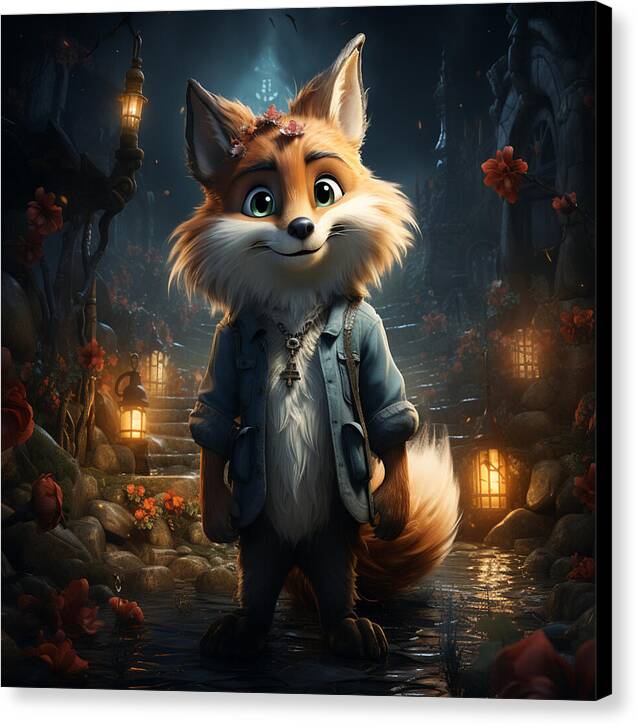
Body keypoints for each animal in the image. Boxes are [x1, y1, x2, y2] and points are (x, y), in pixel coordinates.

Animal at [169, 34, 459, 660]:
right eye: (260, 202)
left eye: (325, 192)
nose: (302, 228)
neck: (296, 312)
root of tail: (297, 552)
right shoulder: (228, 343)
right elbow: (213, 420)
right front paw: (215, 518)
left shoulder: (369, 336)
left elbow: (386, 409)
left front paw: (394, 509)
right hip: (262, 537)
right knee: (257, 582)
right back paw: (243, 630)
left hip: (333, 533)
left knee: (334, 581)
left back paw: (348, 628)